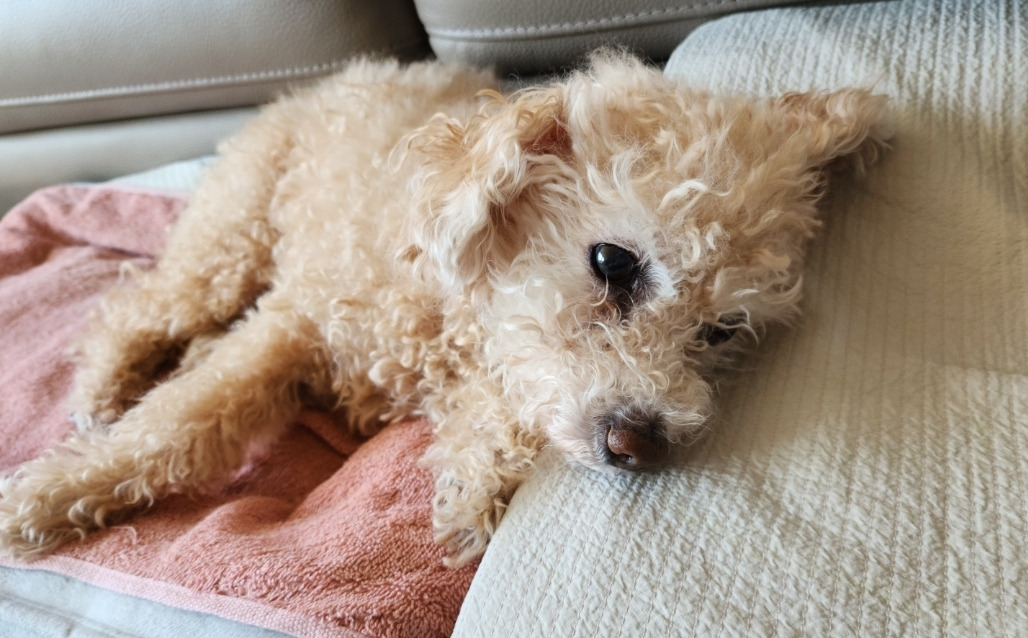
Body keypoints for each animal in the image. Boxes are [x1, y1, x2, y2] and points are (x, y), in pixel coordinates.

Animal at [0, 52, 888, 566]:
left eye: (720, 330)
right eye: (613, 262)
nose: (640, 444)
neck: (443, 315)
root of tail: (334, 77)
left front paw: (471, 488)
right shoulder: (296, 324)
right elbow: (178, 428)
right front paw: (47, 498)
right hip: (232, 234)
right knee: (139, 305)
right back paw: (105, 389)